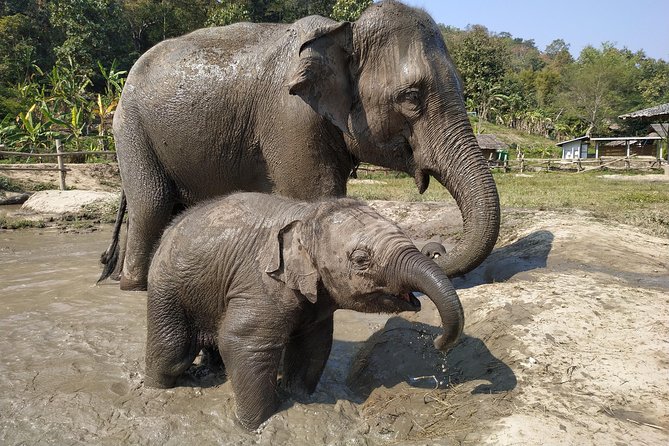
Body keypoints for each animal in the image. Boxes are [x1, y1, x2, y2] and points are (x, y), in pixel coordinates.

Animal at [99, 0, 500, 291]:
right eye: (411, 97)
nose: (435, 249)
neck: (345, 29)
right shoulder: (291, 117)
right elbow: (316, 197)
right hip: (131, 127)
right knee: (153, 203)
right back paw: (133, 285)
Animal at [145, 192, 464, 429]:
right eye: (361, 259)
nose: (438, 342)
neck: (307, 215)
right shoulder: (261, 281)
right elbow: (242, 342)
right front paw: (254, 426)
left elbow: (314, 344)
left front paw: (297, 397)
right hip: (167, 287)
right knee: (172, 353)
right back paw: (158, 389)